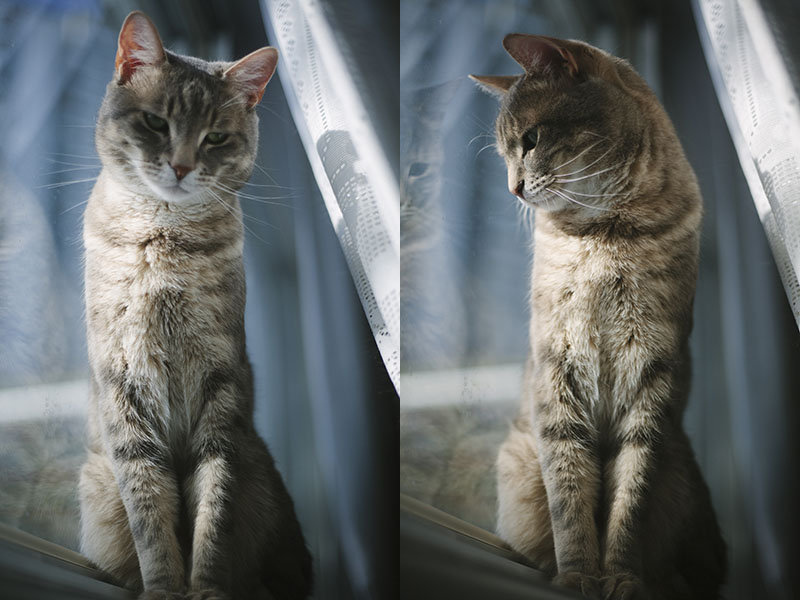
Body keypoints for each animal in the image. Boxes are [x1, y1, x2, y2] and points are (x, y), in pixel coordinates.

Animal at [76, 12, 310, 600]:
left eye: (216, 137)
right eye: (156, 123)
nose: (181, 167)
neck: (164, 236)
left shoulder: (222, 390)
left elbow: (214, 508)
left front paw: (204, 587)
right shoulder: (123, 389)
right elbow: (149, 512)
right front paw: (163, 587)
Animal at [472, 35, 728, 596]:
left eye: (531, 139)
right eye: (503, 154)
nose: (512, 188)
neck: (606, 235)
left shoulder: (653, 380)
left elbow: (629, 501)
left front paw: (621, 578)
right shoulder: (557, 373)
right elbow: (569, 498)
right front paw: (577, 577)